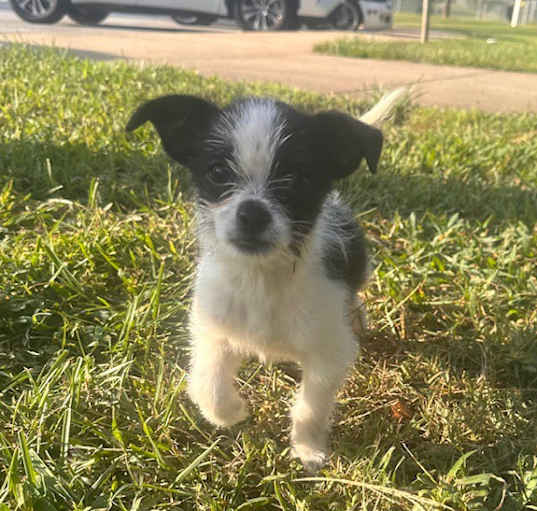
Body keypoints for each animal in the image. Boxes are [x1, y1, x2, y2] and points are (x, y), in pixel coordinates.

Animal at [126, 95, 390, 472]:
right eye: (217, 172)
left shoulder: (329, 354)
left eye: (297, 178)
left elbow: (311, 407)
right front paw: (231, 412)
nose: (253, 213)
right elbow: (207, 385)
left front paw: (308, 449)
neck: (261, 278)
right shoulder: (213, 331)